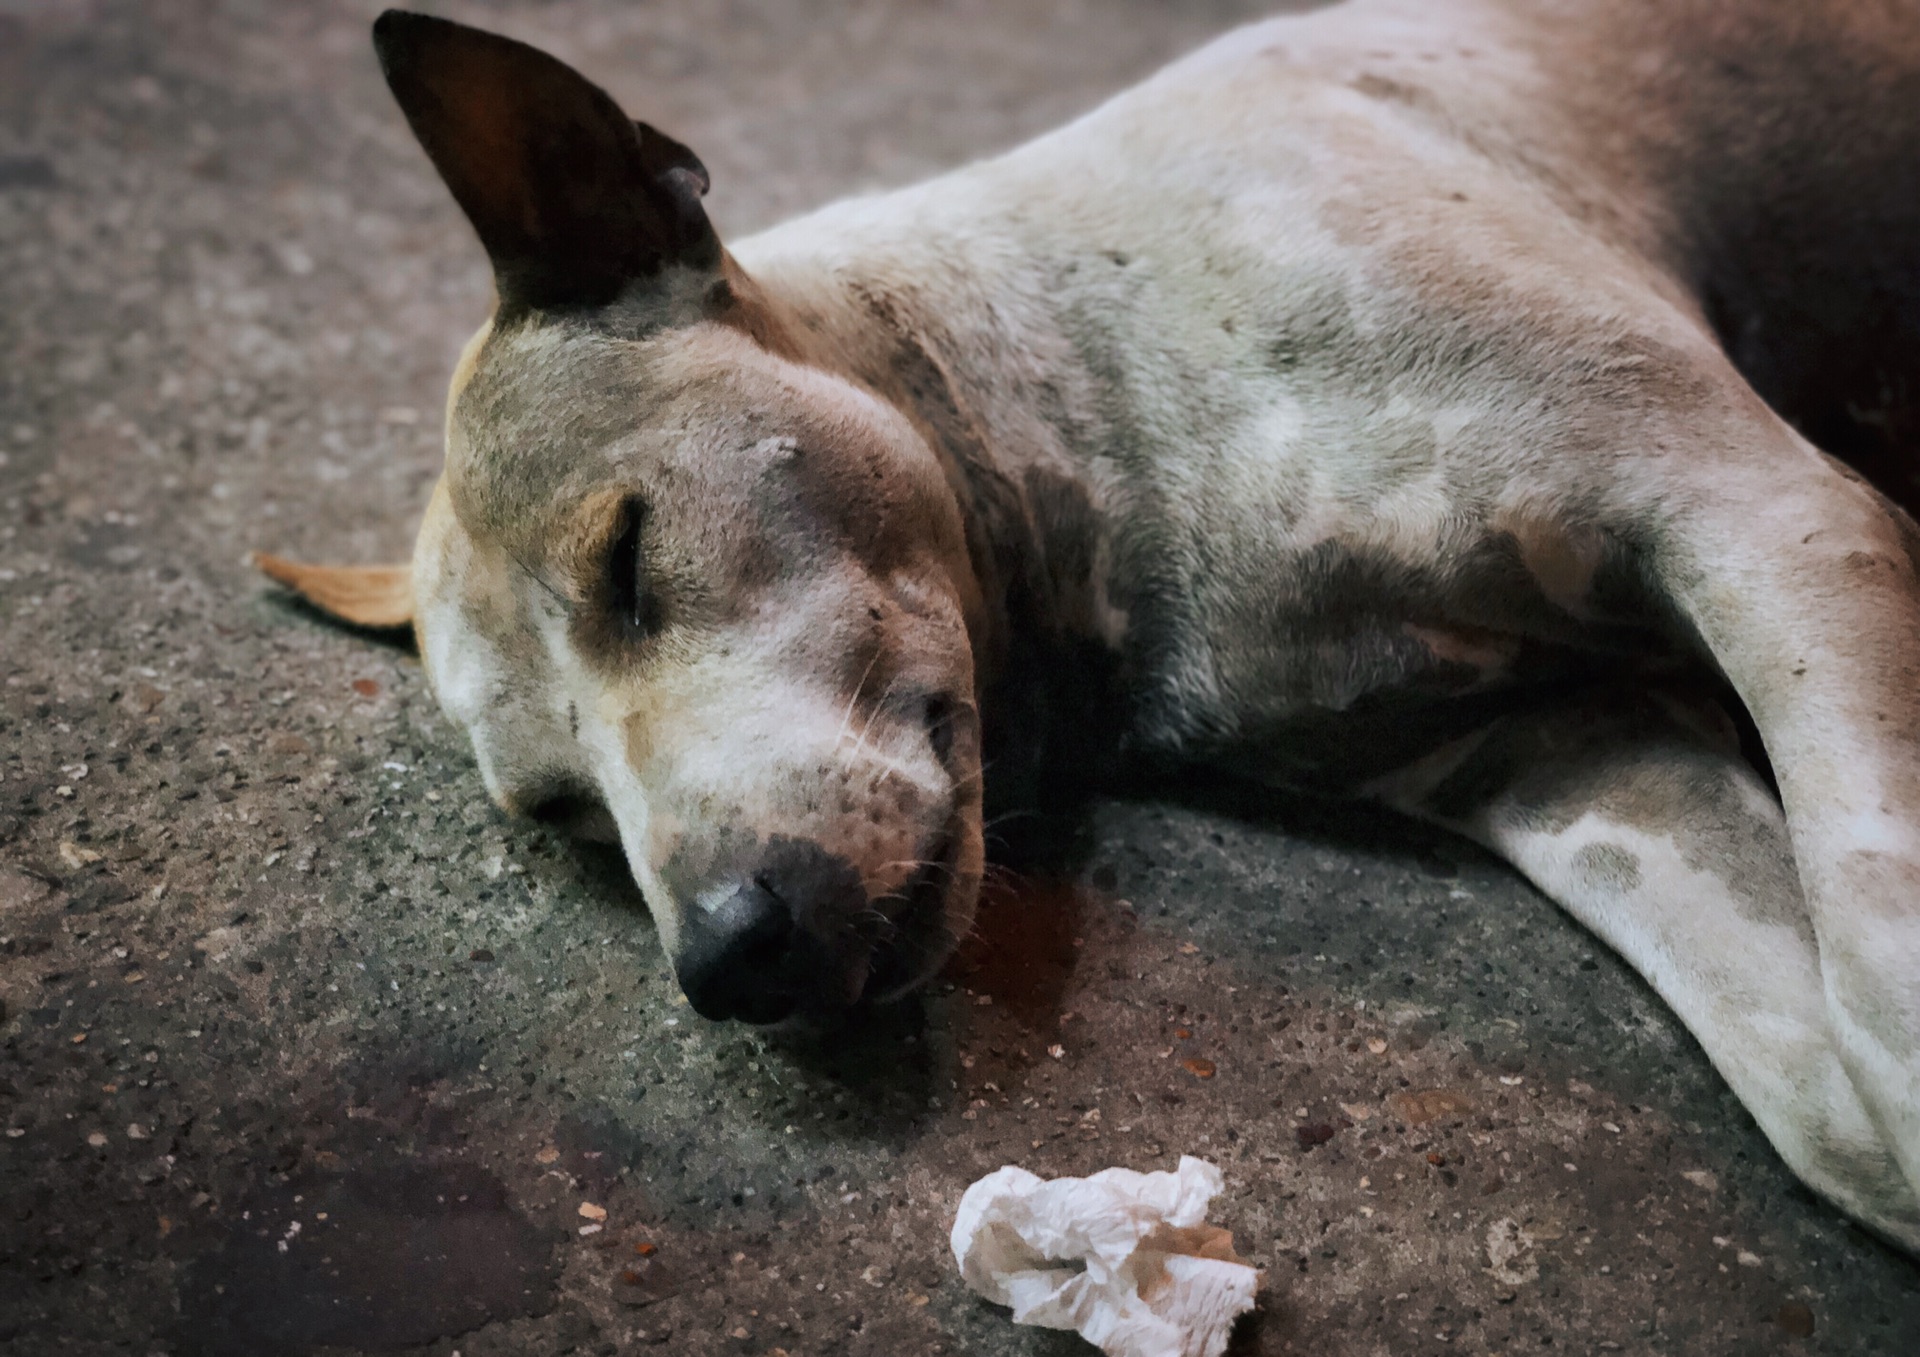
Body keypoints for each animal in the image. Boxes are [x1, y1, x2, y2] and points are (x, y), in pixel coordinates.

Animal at [263, 2, 1920, 1251]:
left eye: (627, 555)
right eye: (555, 810)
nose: (730, 962)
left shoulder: (1757, 514)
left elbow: (1885, 978)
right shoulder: (1572, 760)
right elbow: (1839, 1101)